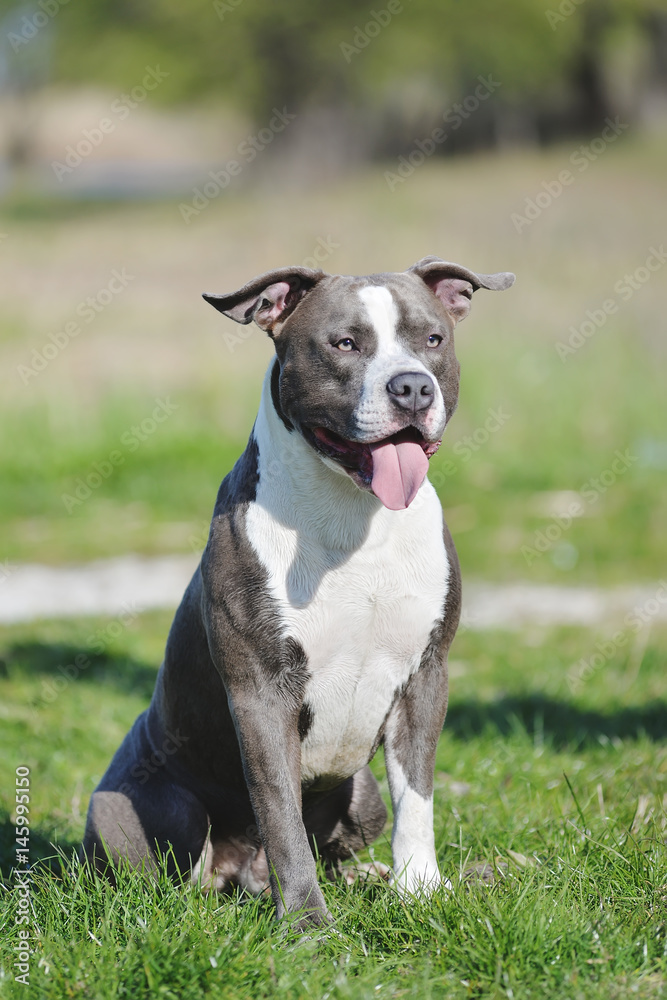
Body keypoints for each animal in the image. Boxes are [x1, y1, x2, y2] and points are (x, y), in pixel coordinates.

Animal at [83, 254, 516, 924]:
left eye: (432, 339)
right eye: (344, 344)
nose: (413, 387)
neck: (355, 517)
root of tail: (244, 876)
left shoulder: (426, 673)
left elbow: (417, 799)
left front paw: (418, 888)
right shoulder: (262, 693)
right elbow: (280, 813)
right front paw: (309, 923)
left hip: (361, 793)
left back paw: (364, 875)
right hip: (141, 811)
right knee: (180, 875)